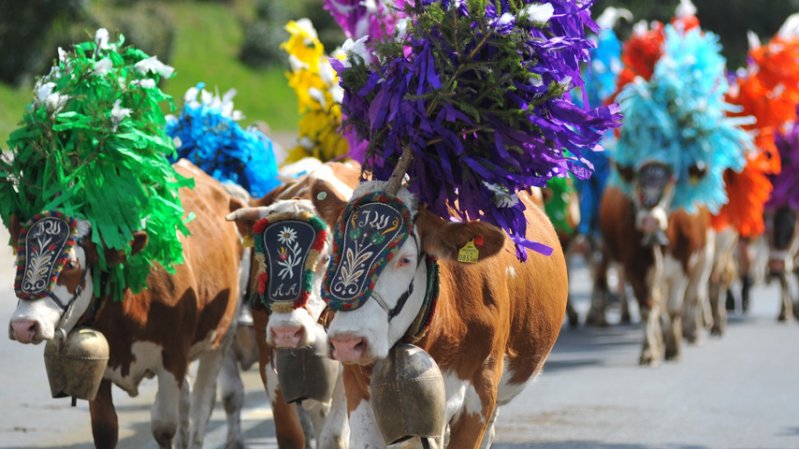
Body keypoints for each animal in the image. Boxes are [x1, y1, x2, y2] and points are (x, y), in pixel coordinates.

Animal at [7, 159, 247, 446]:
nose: (23, 326)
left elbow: (164, 427)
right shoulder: (98, 369)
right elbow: (105, 429)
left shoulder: (173, 360)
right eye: (18, 260)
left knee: (204, 402)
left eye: (72, 264)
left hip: (222, 336)